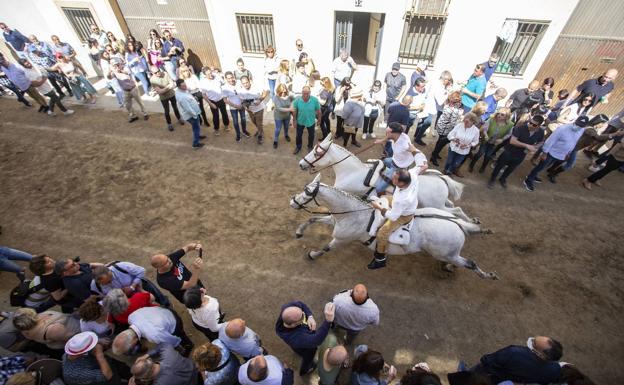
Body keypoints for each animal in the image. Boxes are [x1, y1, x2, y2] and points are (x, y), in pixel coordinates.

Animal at [290, 175, 500, 280]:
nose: (292, 202)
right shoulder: (334, 222)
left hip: (446, 251)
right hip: (447, 239)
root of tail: (455, 224)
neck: (353, 213)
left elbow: (327, 248)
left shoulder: (342, 238)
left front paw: (312, 254)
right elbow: (313, 219)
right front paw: (299, 232)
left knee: (470, 263)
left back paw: (488, 275)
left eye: (307, 192)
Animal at [298, 134, 478, 220]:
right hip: (441, 203)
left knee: (455, 210)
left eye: (317, 153)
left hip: (436, 205)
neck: (352, 172)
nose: (301, 164)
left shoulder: (343, 190)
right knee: (455, 207)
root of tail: (441, 179)